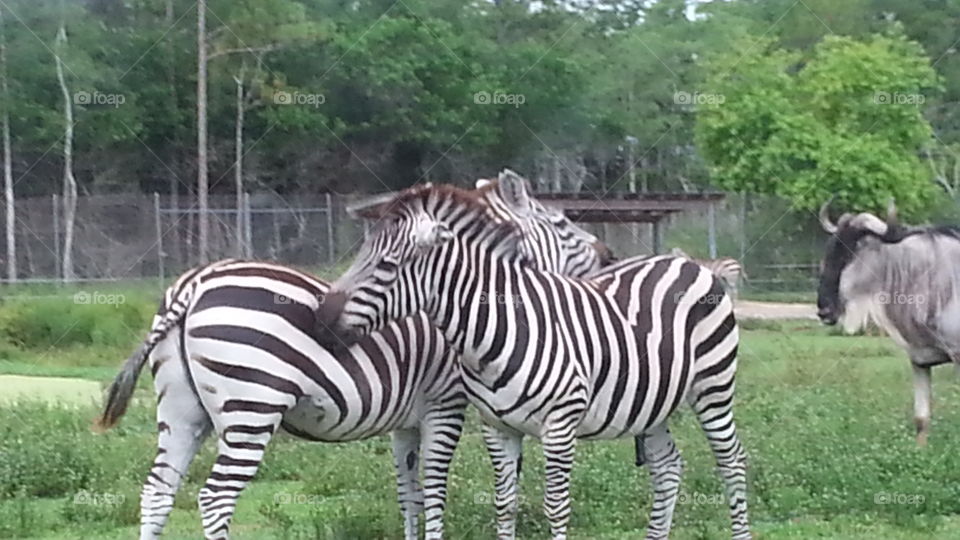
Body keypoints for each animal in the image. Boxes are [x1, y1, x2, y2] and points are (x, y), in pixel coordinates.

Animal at [94, 170, 611, 540]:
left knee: (158, 493)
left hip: (182, 410)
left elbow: (409, 495)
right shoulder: (446, 406)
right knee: (215, 499)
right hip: (252, 408)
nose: (607, 256)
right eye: (563, 222)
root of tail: (195, 283)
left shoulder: (406, 421)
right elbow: (435, 491)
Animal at [316, 183, 750, 540]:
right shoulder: (497, 428)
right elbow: (505, 504)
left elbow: (556, 508)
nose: (320, 323)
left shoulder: (560, 425)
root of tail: (689, 263)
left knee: (732, 461)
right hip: (651, 403)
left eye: (387, 265)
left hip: (713, 387)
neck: (494, 331)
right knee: (668, 468)